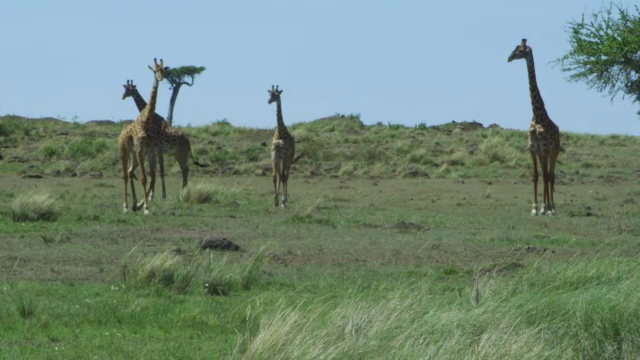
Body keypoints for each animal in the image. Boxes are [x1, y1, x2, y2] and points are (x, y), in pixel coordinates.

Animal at [120, 58, 165, 214]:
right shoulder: (142, 150)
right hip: (124, 151)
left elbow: (150, 177)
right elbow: (145, 178)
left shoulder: (150, 150)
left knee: (133, 172)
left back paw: (136, 203)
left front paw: (143, 205)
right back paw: (127, 206)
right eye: (154, 70)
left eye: (163, 69)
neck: (146, 119)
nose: (160, 77)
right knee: (126, 174)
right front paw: (144, 206)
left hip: (137, 154)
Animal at [510, 38, 560, 215]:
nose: (509, 58)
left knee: (551, 174)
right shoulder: (533, 149)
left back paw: (552, 207)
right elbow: (535, 175)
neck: (538, 116)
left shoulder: (544, 148)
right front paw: (534, 208)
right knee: (546, 174)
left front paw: (545, 208)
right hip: (542, 153)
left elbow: (545, 176)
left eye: (520, 50)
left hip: (554, 151)